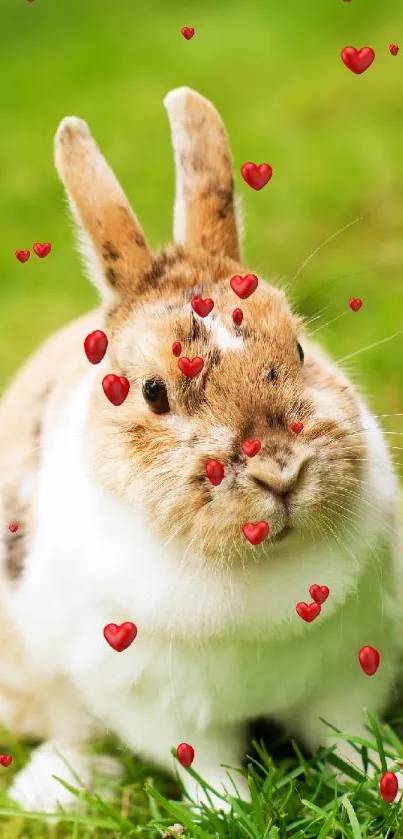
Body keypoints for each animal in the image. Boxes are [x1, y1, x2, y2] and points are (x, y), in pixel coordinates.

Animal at [0, 85, 403, 812]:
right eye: (153, 392)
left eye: (300, 350)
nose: (281, 471)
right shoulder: (159, 705)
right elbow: (205, 764)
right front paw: (231, 808)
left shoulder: (351, 663)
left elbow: (350, 737)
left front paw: (390, 780)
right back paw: (57, 787)